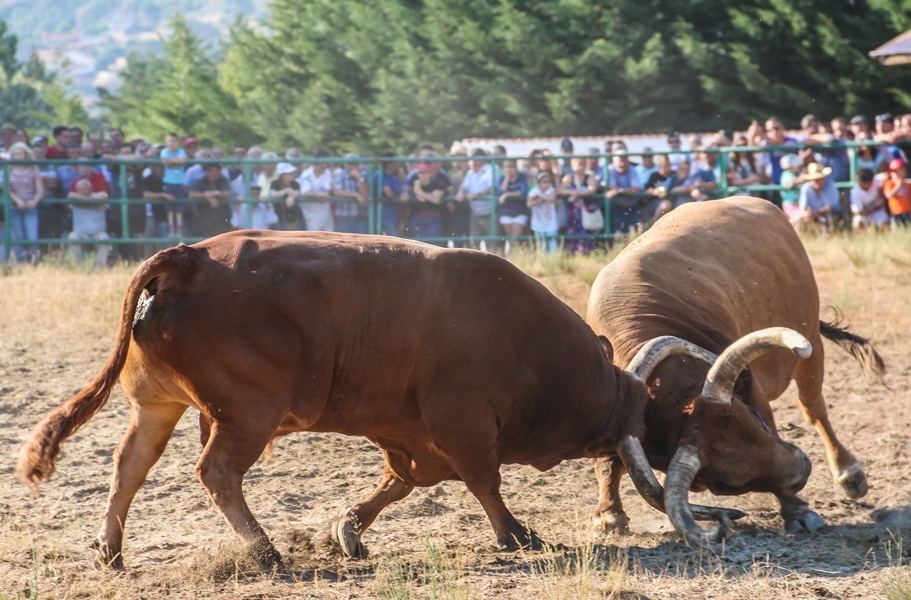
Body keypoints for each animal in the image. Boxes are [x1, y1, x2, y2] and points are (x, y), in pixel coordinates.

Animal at [19, 232, 740, 568]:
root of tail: (189, 257)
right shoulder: (461, 420)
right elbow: (483, 479)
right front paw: (515, 533)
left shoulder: (413, 434)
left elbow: (403, 481)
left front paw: (349, 529)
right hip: (246, 414)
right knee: (216, 471)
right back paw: (264, 550)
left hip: (157, 406)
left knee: (129, 467)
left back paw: (111, 551)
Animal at [588, 195, 888, 540]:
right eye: (725, 484)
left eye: (756, 420)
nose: (801, 472)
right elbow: (608, 462)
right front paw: (609, 514)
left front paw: (797, 510)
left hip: (811, 341)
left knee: (814, 408)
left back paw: (849, 474)